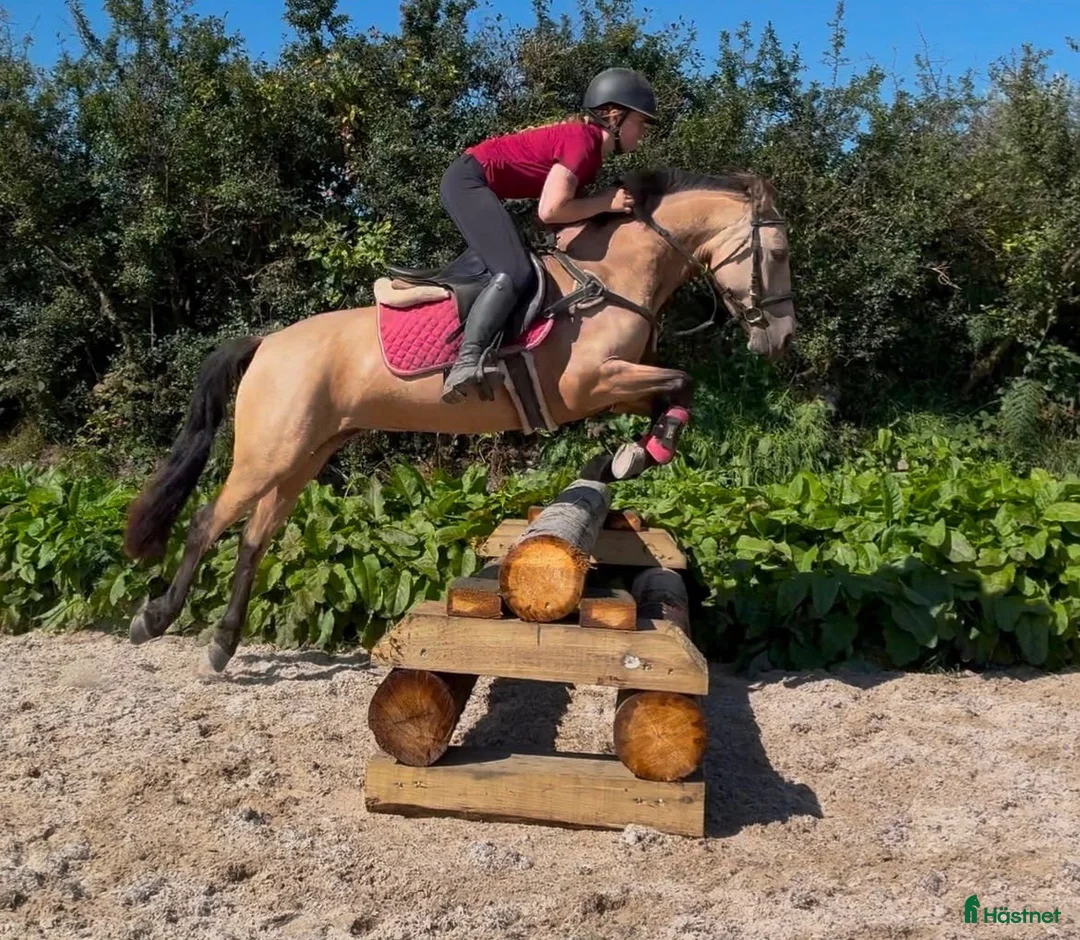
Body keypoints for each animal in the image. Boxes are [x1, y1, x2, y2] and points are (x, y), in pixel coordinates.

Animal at [122, 167, 797, 673]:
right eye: (780, 253)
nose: (783, 341)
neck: (610, 277)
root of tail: (266, 343)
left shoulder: (613, 386)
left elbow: (673, 393)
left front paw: (631, 456)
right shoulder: (589, 384)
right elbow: (682, 382)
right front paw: (637, 455)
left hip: (305, 454)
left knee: (257, 535)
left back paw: (221, 644)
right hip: (270, 453)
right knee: (208, 521)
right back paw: (154, 618)